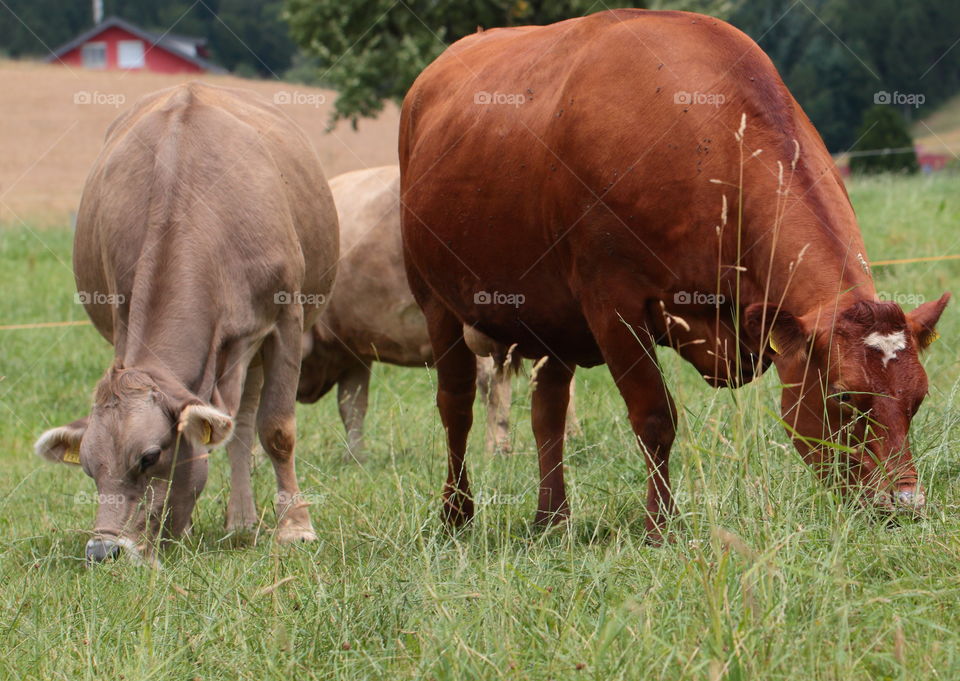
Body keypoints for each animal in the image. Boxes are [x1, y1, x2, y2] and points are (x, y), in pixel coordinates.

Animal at [34, 82, 339, 562]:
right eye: (87, 468)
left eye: (149, 456)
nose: (103, 551)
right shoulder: (121, 317)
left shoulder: (287, 318)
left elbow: (277, 428)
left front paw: (295, 527)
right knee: (237, 424)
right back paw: (241, 519)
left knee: (246, 422)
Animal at [297, 165, 580, 461]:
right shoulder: (354, 350)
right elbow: (352, 405)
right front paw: (357, 458)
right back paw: (570, 438)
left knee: (494, 384)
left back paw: (499, 448)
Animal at [399, 9, 949, 541]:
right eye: (844, 397)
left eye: (919, 398)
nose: (906, 506)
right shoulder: (613, 306)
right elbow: (655, 418)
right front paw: (660, 526)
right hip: (436, 303)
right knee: (455, 406)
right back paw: (456, 514)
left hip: (555, 317)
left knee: (548, 410)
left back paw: (552, 518)